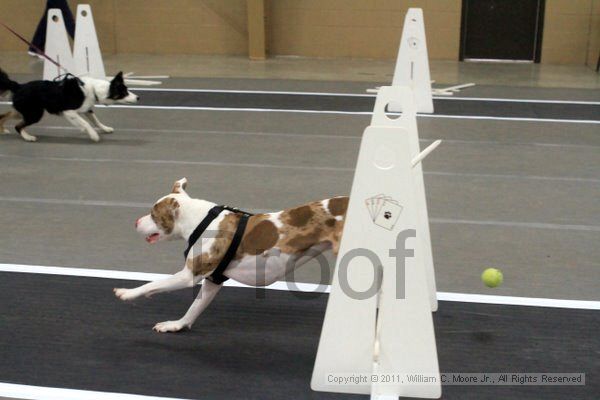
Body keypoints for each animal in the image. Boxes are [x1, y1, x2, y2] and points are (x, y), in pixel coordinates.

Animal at [0, 70, 137, 142]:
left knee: (4, 115)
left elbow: (96, 120)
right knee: (18, 126)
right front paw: (93, 135)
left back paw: (3, 130)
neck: (94, 90)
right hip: (34, 114)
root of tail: (19, 86)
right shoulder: (68, 111)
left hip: (24, 111)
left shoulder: (87, 109)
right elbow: (86, 123)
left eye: (127, 90)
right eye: (124, 93)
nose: (138, 98)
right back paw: (28, 137)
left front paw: (105, 128)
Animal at [113, 178, 346, 332]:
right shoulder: (213, 281)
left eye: (154, 215)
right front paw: (177, 325)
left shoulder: (188, 276)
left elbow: (152, 284)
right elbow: (195, 307)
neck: (201, 221)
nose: (136, 222)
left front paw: (128, 293)